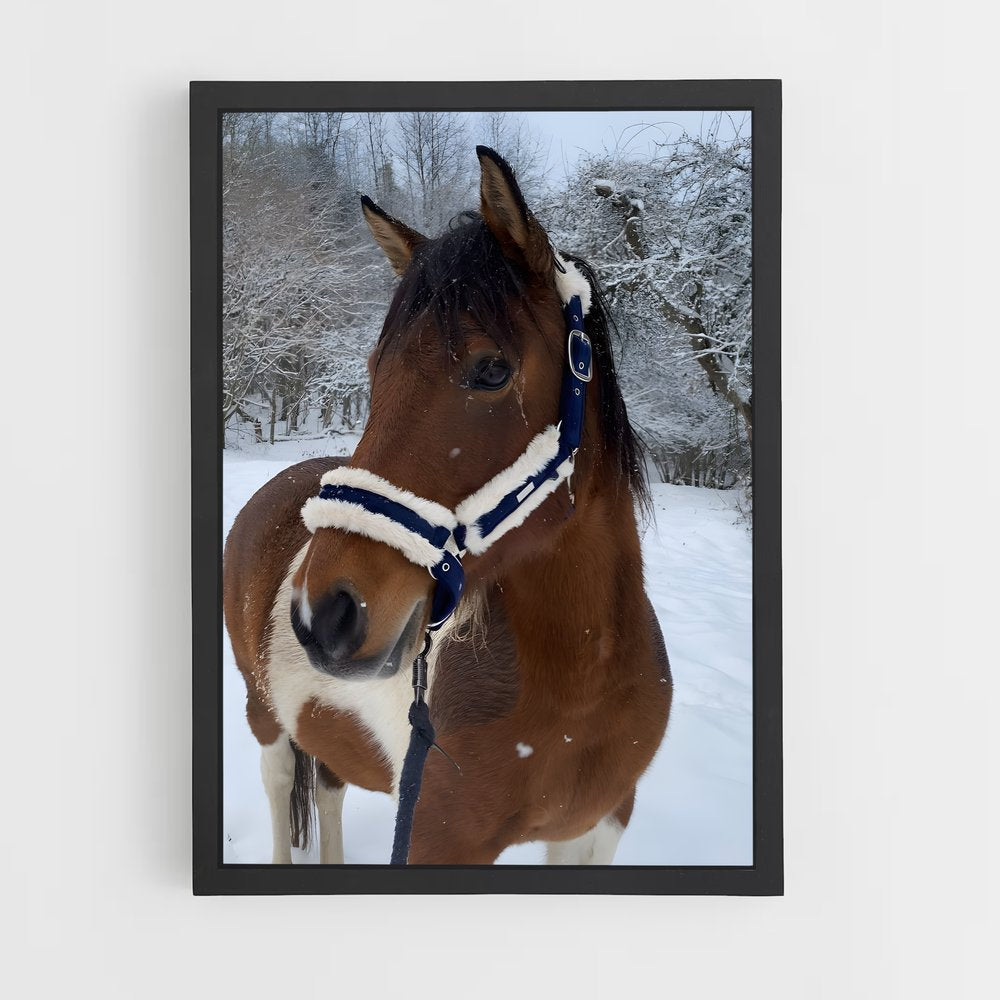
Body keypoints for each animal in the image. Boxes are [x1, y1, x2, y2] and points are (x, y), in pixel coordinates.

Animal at [222, 146, 672, 865]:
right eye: (374, 370)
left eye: (492, 370)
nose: (326, 614)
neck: (583, 679)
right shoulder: (440, 839)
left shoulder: (600, 825)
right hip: (264, 717)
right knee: (281, 788)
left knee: (329, 789)